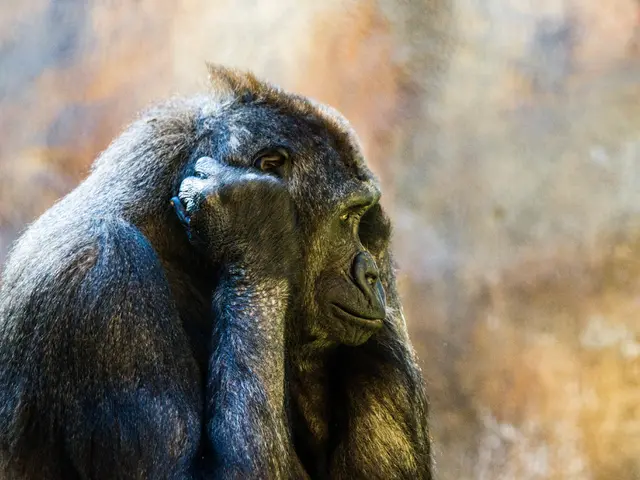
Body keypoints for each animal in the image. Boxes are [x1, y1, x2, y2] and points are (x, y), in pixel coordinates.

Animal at [0, 65, 431, 479]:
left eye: (362, 216)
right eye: (346, 217)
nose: (371, 274)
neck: (172, 233)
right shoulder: (104, 277)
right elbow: (194, 473)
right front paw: (257, 227)